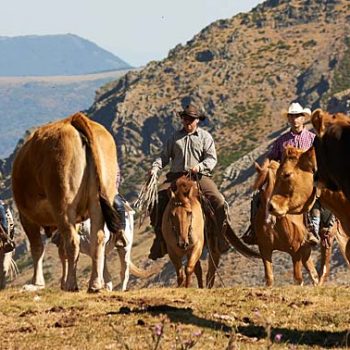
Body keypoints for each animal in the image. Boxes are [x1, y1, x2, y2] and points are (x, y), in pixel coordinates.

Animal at [11, 113, 120, 292]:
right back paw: (94, 284)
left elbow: (37, 248)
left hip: (63, 202)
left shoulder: (26, 216)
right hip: (99, 199)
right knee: (97, 238)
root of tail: (74, 119)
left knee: (73, 242)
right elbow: (61, 251)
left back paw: (71, 284)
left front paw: (37, 282)